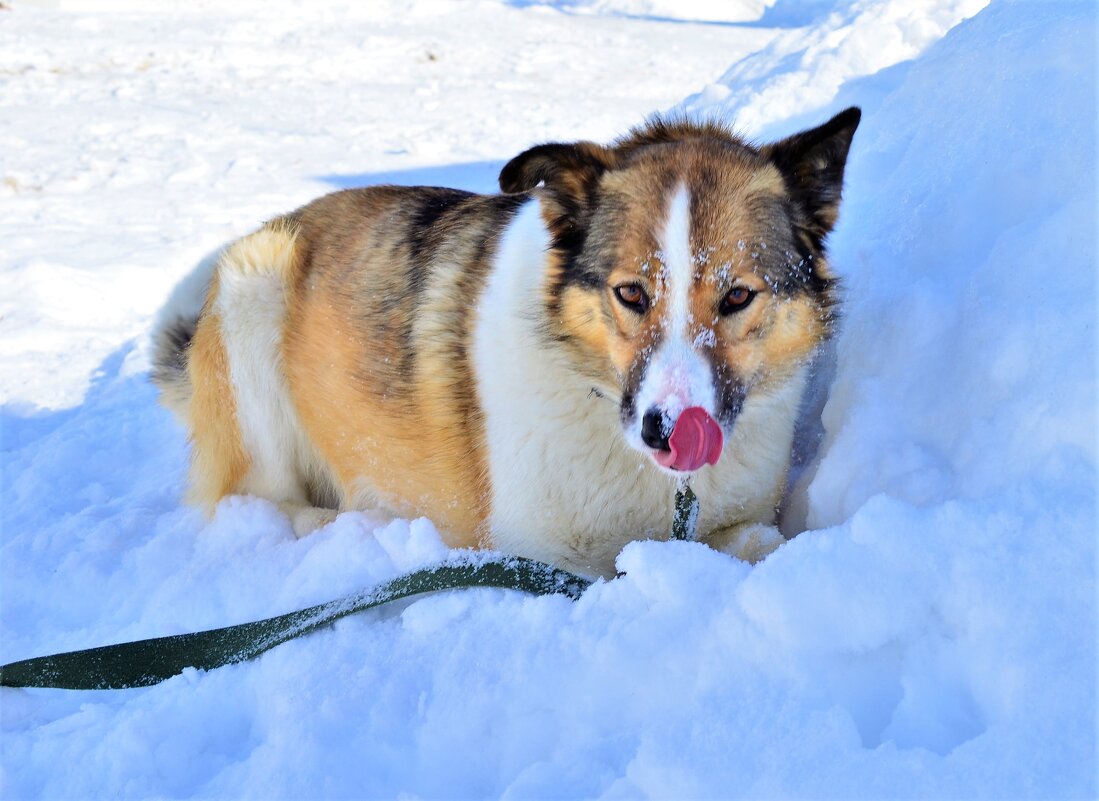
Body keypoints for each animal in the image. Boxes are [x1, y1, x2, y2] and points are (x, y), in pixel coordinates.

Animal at [152, 109, 857, 580]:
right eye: (631, 293)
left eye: (737, 297)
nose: (666, 430)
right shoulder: (540, 557)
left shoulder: (737, 519)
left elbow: (761, 543)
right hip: (254, 290)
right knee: (257, 503)